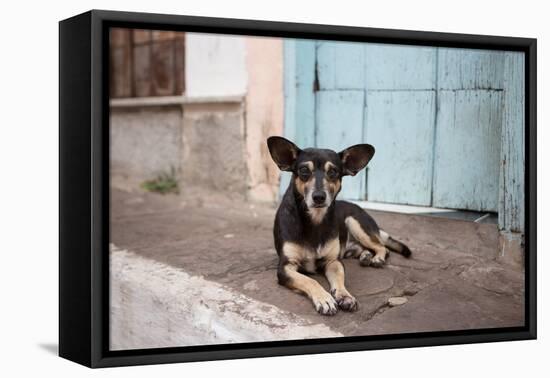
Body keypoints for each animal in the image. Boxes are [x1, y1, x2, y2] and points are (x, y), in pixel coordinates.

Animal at [268, 137, 414, 314]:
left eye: (333, 172)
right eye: (303, 171)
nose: (319, 197)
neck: (315, 220)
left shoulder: (333, 262)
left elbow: (339, 279)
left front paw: (345, 296)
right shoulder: (286, 267)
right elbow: (310, 280)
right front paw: (324, 298)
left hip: (355, 222)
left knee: (382, 247)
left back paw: (376, 258)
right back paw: (366, 256)